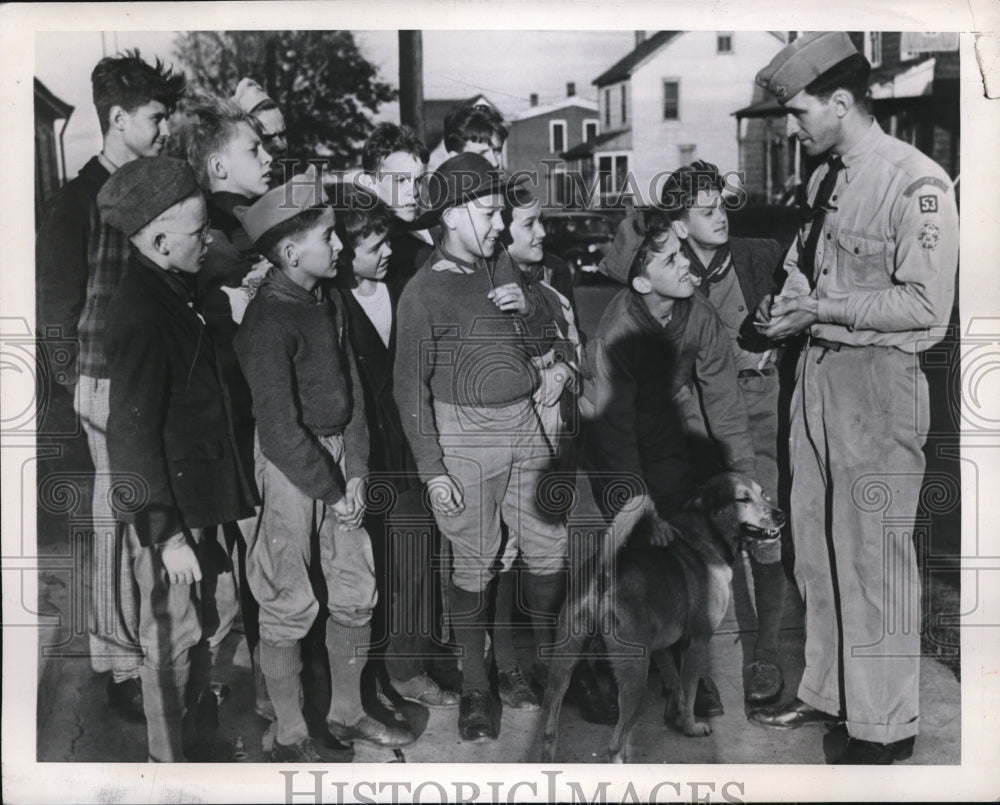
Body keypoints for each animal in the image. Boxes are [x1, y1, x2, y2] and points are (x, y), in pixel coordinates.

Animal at [540, 474, 780, 764]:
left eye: (764, 494)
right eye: (742, 498)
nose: (780, 515)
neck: (703, 536)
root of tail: (605, 574)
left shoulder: (662, 647)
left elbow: (675, 683)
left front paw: (674, 714)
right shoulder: (697, 643)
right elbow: (689, 690)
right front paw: (690, 727)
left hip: (562, 665)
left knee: (550, 727)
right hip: (634, 677)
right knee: (614, 745)